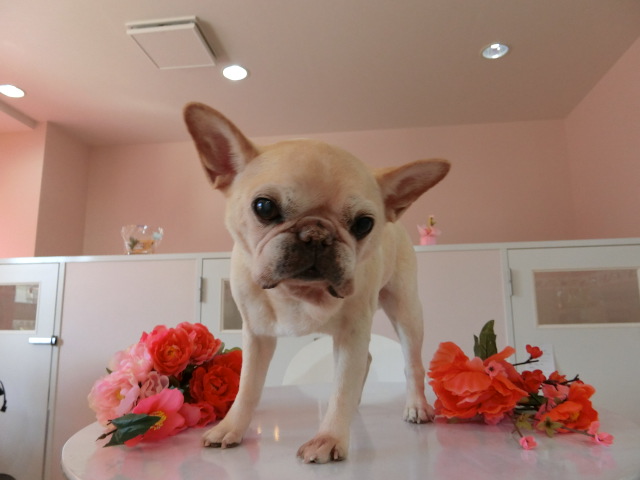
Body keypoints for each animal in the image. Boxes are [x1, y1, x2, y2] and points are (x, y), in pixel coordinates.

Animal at [183, 103, 450, 463]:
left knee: (412, 364)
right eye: (263, 207)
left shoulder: (353, 332)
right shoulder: (257, 335)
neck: (300, 293)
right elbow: (248, 386)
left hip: (406, 311)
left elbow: (341, 388)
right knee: (366, 362)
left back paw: (416, 405)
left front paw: (330, 438)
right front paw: (231, 427)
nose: (317, 235)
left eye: (364, 224)